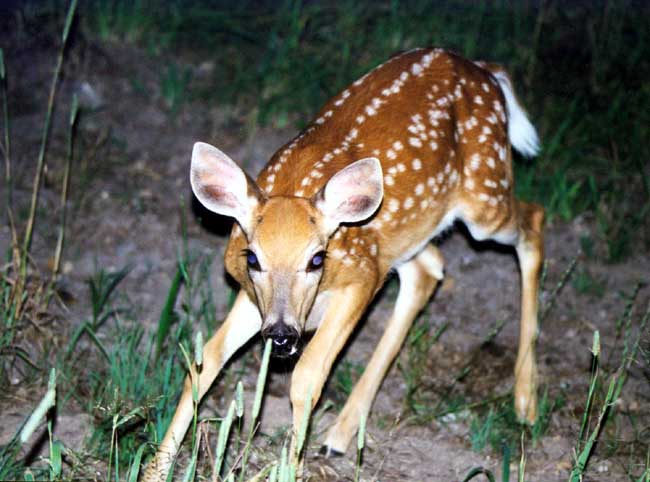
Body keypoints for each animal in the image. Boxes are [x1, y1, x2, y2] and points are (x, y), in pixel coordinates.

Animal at [142, 47, 544, 481]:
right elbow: (205, 361)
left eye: (317, 258)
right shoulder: (256, 297)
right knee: (428, 269)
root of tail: (485, 71)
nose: (281, 335)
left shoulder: (362, 276)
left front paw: (291, 467)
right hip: (408, 233)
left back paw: (526, 402)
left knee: (534, 220)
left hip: (485, 197)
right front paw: (154, 469)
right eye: (252, 257)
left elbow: (307, 375)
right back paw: (342, 432)